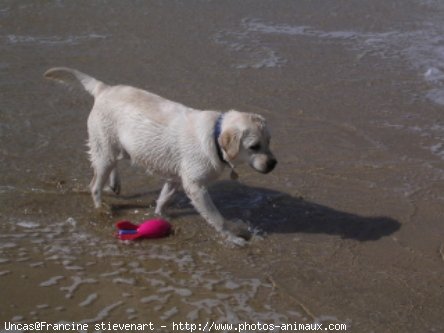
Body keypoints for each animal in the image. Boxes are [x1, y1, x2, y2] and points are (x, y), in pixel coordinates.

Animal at [44, 67, 274, 244]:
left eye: (269, 142)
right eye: (254, 146)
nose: (273, 164)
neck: (214, 136)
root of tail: (104, 89)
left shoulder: (175, 179)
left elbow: (163, 199)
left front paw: (162, 216)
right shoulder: (195, 186)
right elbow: (217, 217)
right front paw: (232, 237)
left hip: (120, 147)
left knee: (113, 165)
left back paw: (115, 183)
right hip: (104, 149)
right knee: (94, 185)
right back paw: (101, 208)